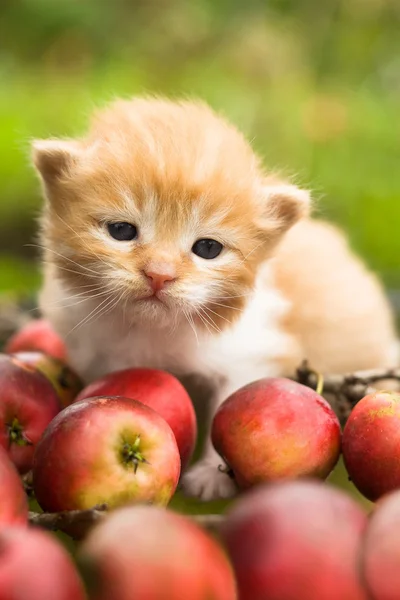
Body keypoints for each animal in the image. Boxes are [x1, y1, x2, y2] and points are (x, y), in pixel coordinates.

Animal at [32, 98, 398, 502]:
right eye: (121, 231)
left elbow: (230, 395)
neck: (154, 328)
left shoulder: (250, 350)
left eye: (208, 248)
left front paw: (211, 475)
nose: (159, 274)